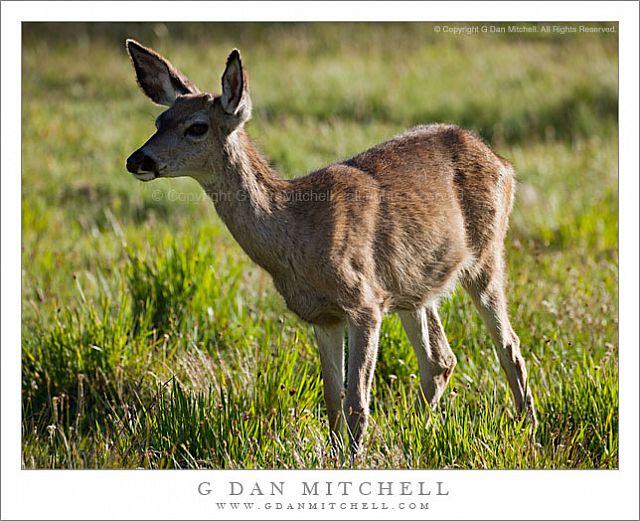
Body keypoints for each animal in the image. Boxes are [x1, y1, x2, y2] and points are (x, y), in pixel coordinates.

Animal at [124, 41, 536, 464]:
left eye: (197, 127)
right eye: (160, 120)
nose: (137, 160)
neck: (297, 231)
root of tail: (502, 161)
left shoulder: (364, 302)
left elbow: (356, 402)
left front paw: (353, 460)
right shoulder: (323, 316)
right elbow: (332, 399)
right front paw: (338, 456)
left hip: (485, 256)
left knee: (509, 346)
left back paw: (526, 433)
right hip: (413, 285)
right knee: (440, 361)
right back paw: (413, 434)